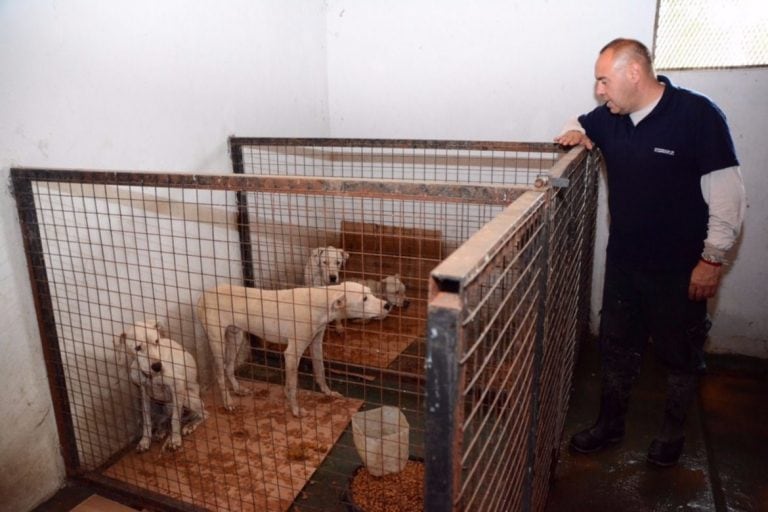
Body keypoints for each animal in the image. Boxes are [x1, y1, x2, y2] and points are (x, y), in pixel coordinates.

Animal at [116, 320, 207, 452]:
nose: (157, 366)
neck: (152, 376)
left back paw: (189, 425)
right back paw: (161, 430)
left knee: (201, 414)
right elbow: (146, 420)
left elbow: (175, 420)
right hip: (160, 405)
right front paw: (145, 440)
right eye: (138, 348)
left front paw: (175, 439)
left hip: (188, 397)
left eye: (157, 341)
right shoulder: (143, 393)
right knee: (167, 418)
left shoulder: (178, 387)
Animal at [195, 282, 392, 418]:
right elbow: (292, 384)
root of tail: (205, 295)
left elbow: (320, 371)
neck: (320, 303)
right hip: (217, 343)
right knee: (220, 372)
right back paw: (227, 401)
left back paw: (238, 390)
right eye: (364, 299)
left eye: (370, 293)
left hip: (236, 337)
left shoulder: (316, 344)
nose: (388, 305)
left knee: (229, 367)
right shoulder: (291, 353)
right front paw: (295, 410)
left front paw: (327, 392)